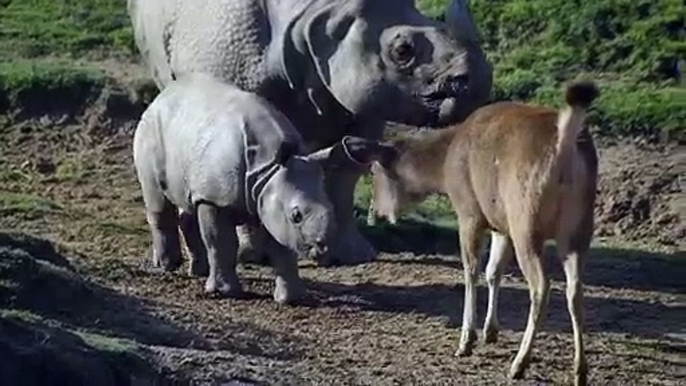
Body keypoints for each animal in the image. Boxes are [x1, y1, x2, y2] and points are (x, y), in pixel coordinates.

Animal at [127, 0, 494, 266]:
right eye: (402, 51)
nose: (476, 82)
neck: (322, 19)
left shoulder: (364, 102)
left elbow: (347, 170)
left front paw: (351, 255)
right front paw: (254, 255)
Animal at [134, 73, 392, 304]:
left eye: (330, 208)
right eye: (297, 215)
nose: (322, 250)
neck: (268, 168)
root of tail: (161, 97)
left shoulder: (269, 197)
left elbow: (282, 248)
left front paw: (291, 299)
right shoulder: (215, 198)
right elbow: (221, 242)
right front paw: (225, 293)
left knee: (188, 201)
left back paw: (198, 271)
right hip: (150, 129)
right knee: (157, 198)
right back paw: (167, 266)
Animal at [370, 82, 600, 386]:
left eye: (373, 172)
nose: (376, 211)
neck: (445, 166)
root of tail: (566, 146)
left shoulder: (470, 213)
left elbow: (471, 270)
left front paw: (466, 341)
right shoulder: (501, 224)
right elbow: (493, 271)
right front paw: (491, 332)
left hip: (526, 221)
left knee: (541, 285)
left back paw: (519, 364)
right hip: (578, 228)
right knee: (575, 289)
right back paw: (580, 370)